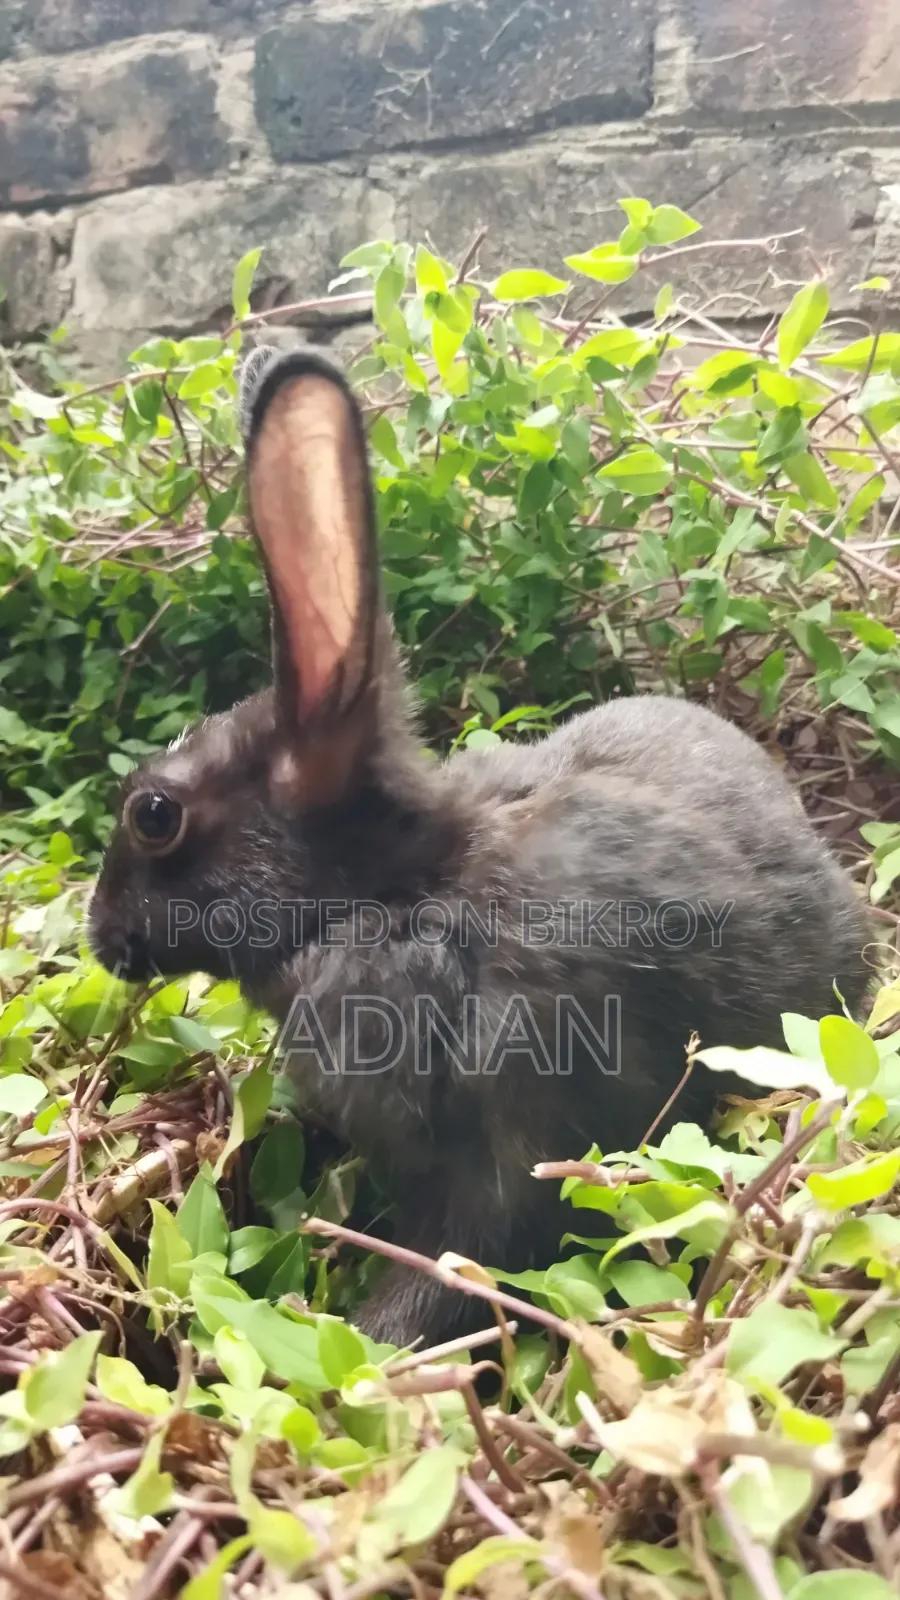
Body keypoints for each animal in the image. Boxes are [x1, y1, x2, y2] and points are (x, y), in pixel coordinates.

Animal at [89, 346, 870, 1350]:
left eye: (154, 814)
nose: (100, 936)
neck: (395, 898)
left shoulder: (520, 1145)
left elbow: (457, 1267)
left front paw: (361, 1347)